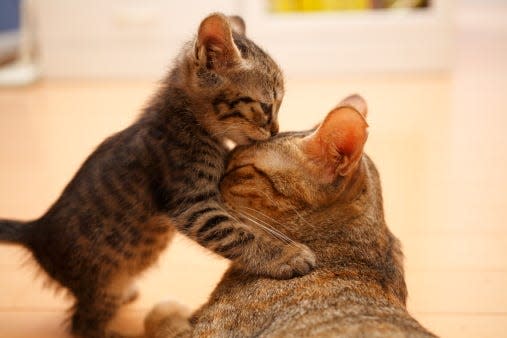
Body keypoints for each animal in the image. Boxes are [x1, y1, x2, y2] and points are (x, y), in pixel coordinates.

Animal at [0, 11, 316, 338]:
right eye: (266, 106)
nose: (276, 130)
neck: (188, 121)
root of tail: (37, 230)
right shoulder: (192, 205)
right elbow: (238, 234)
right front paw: (285, 255)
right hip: (103, 283)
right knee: (82, 325)